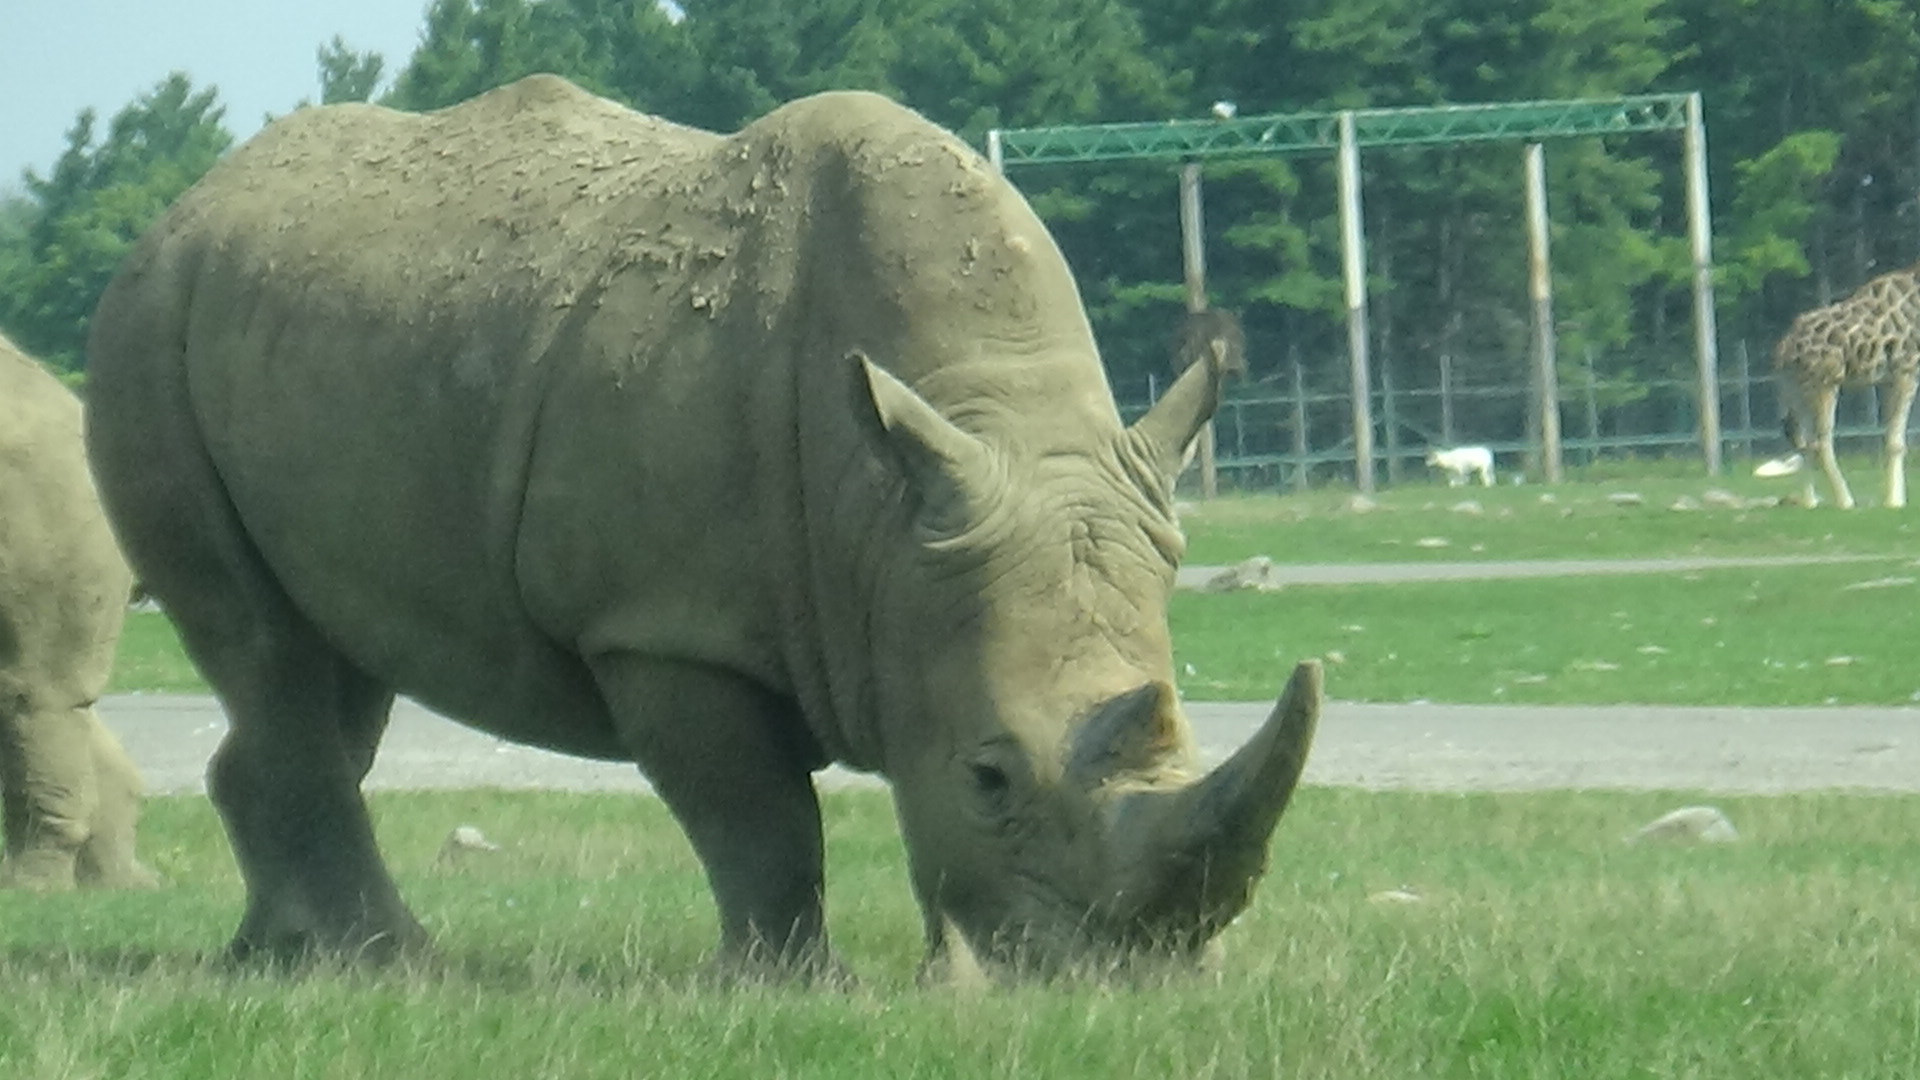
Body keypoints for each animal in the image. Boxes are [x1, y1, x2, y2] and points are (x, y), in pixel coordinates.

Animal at [85, 75, 1318, 979]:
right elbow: (759, 816)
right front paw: (793, 988)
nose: (1131, 983)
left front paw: (940, 979)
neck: (889, 522)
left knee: (331, 667)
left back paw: (273, 961)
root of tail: (185, 207)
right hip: (147, 328)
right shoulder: (664, 626)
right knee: (266, 649)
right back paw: (387, 964)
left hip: (277, 327)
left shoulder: (926, 563)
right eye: (989, 778)